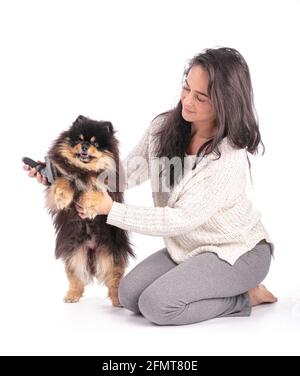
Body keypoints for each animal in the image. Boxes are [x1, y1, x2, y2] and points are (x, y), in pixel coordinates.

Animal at [43, 116, 135, 306]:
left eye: (95, 144)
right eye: (79, 139)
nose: (85, 146)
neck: (84, 170)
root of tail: (92, 247)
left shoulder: (107, 189)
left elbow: (95, 189)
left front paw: (90, 208)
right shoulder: (65, 175)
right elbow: (65, 180)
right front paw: (61, 197)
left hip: (110, 257)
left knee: (115, 281)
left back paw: (118, 301)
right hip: (75, 255)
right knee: (76, 279)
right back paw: (72, 296)